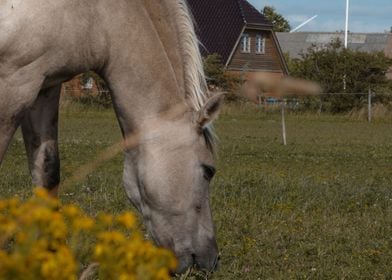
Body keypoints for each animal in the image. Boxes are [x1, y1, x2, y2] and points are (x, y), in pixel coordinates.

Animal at [0, 0, 220, 274]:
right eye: (208, 170)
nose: (212, 260)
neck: (98, 13)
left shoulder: (44, 86)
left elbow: (47, 174)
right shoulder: (14, 83)